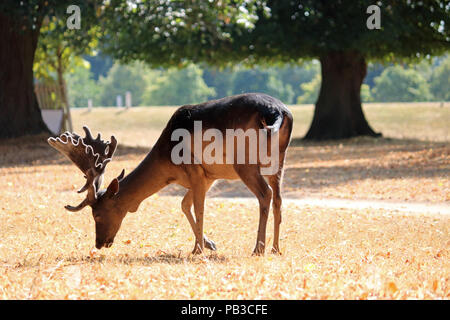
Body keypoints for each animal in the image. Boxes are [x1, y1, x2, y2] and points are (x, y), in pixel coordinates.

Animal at [49, 92, 294, 255]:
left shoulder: (195, 170)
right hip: (279, 159)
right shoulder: (208, 176)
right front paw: (209, 244)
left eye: (97, 214)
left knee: (265, 194)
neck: (168, 166)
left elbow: (198, 208)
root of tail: (277, 112)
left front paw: (198, 249)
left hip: (244, 161)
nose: (99, 244)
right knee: (279, 199)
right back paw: (276, 248)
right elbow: (185, 205)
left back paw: (258, 249)